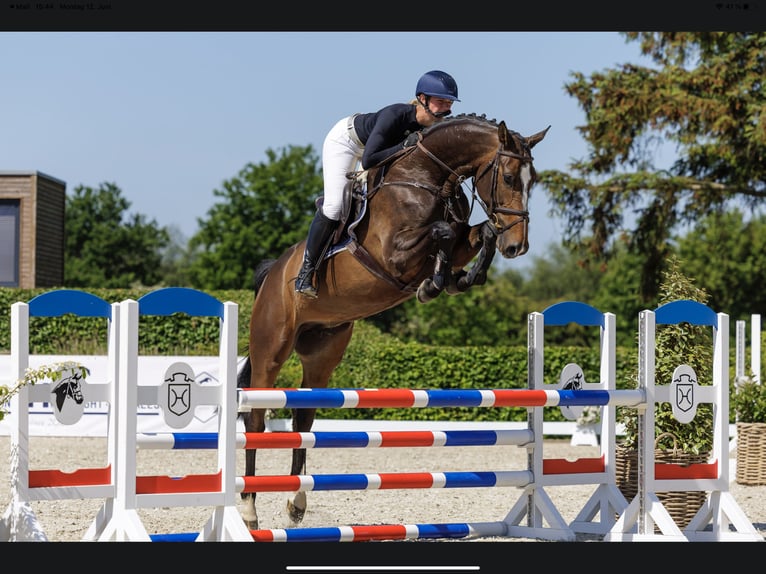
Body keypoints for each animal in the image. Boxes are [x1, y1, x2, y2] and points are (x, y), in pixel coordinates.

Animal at [236, 113, 549, 529]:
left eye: (535, 180)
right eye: (511, 177)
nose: (518, 247)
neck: (429, 176)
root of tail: (272, 274)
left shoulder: (456, 240)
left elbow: (477, 231)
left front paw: (457, 279)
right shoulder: (394, 255)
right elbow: (444, 231)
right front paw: (436, 283)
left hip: (322, 352)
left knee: (303, 421)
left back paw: (296, 503)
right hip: (271, 347)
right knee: (256, 420)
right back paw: (249, 510)